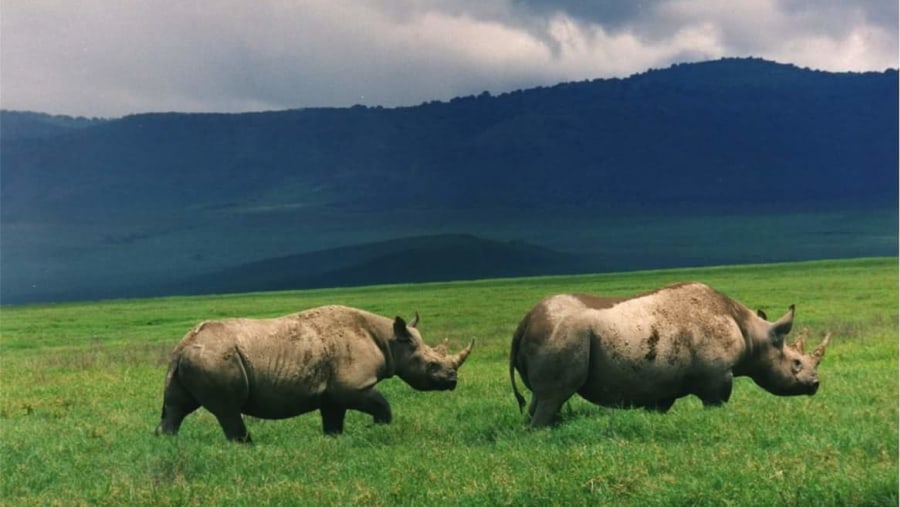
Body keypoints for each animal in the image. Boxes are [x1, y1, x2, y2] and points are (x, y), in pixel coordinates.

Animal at [156, 304, 474, 442]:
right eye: (432, 365)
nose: (452, 381)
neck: (390, 340)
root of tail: (182, 346)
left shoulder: (332, 392)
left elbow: (333, 419)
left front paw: (334, 440)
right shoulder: (354, 385)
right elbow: (382, 405)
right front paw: (375, 429)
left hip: (195, 359)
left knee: (176, 407)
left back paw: (168, 443)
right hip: (215, 358)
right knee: (228, 410)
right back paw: (247, 446)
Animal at [510, 284, 832, 426]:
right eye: (796, 363)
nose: (815, 385)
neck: (755, 335)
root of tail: (525, 321)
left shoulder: (660, 383)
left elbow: (658, 406)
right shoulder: (716, 377)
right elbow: (716, 403)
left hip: (554, 332)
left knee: (542, 397)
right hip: (563, 333)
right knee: (553, 395)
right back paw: (543, 431)